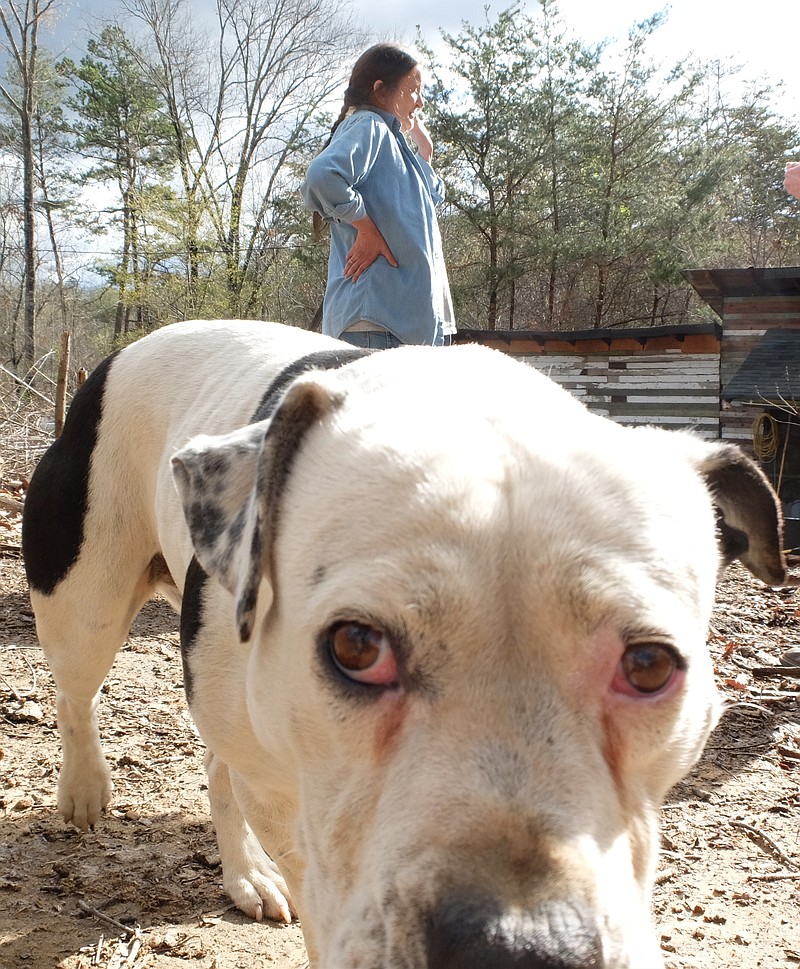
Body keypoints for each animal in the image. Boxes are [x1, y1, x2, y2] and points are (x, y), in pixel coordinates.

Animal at [23, 316, 788, 960]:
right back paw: (85, 789)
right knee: (75, 693)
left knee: (216, 760)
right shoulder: (295, 812)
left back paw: (245, 876)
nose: (518, 949)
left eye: (651, 665)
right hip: (85, 600)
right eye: (357, 647)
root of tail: (120, 355)